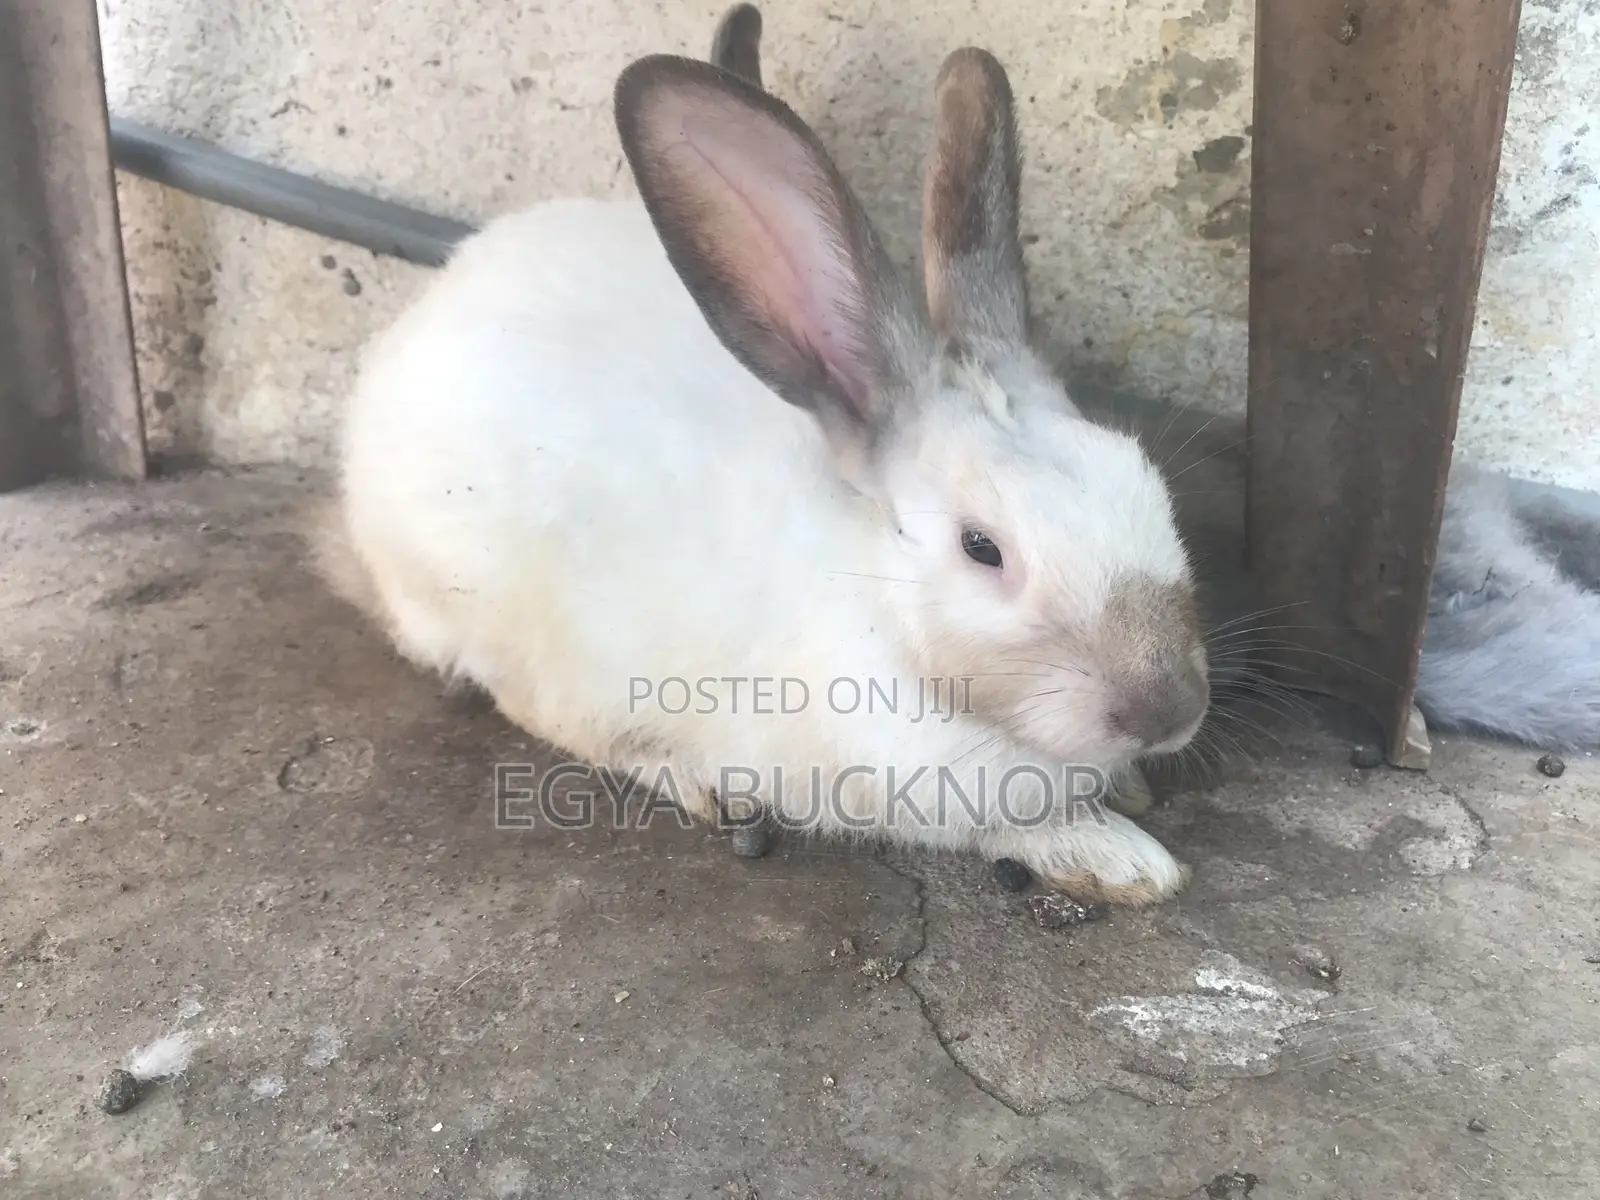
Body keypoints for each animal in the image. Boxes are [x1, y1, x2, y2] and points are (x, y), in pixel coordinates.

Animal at [320, 46, 1212, 907]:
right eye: (981, 547)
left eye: (1147, 483)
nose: (1169, 709)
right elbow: (1006, 827)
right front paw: (1117, 858)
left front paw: (1127, 792)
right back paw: (688, 778)